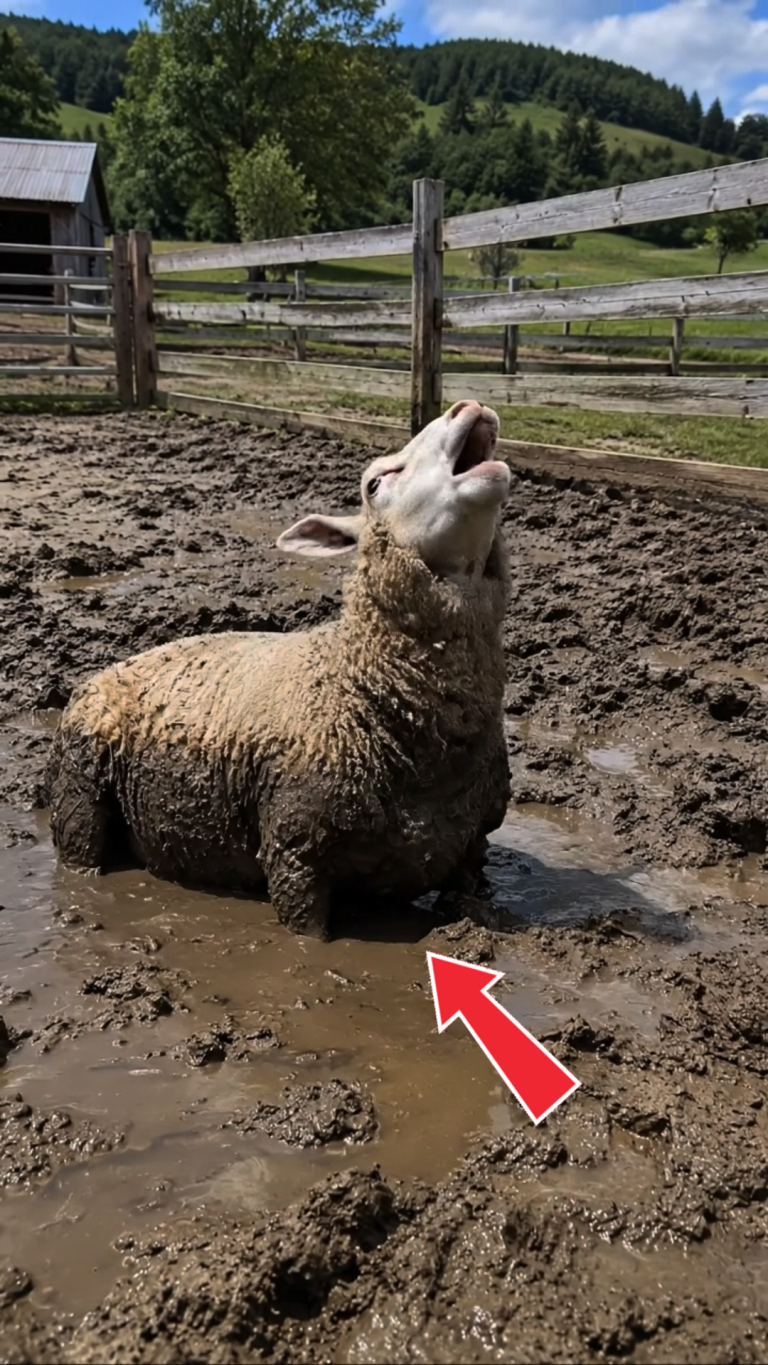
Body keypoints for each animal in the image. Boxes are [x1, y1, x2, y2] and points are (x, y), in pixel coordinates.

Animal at [44, 398, 512, 939]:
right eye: (374, 485)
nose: (468, 406)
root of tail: (107, 669)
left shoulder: (474, 846)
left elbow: (471, 896)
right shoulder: (296, 854)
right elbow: (307, 937)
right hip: (78, 798)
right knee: (79, 854)